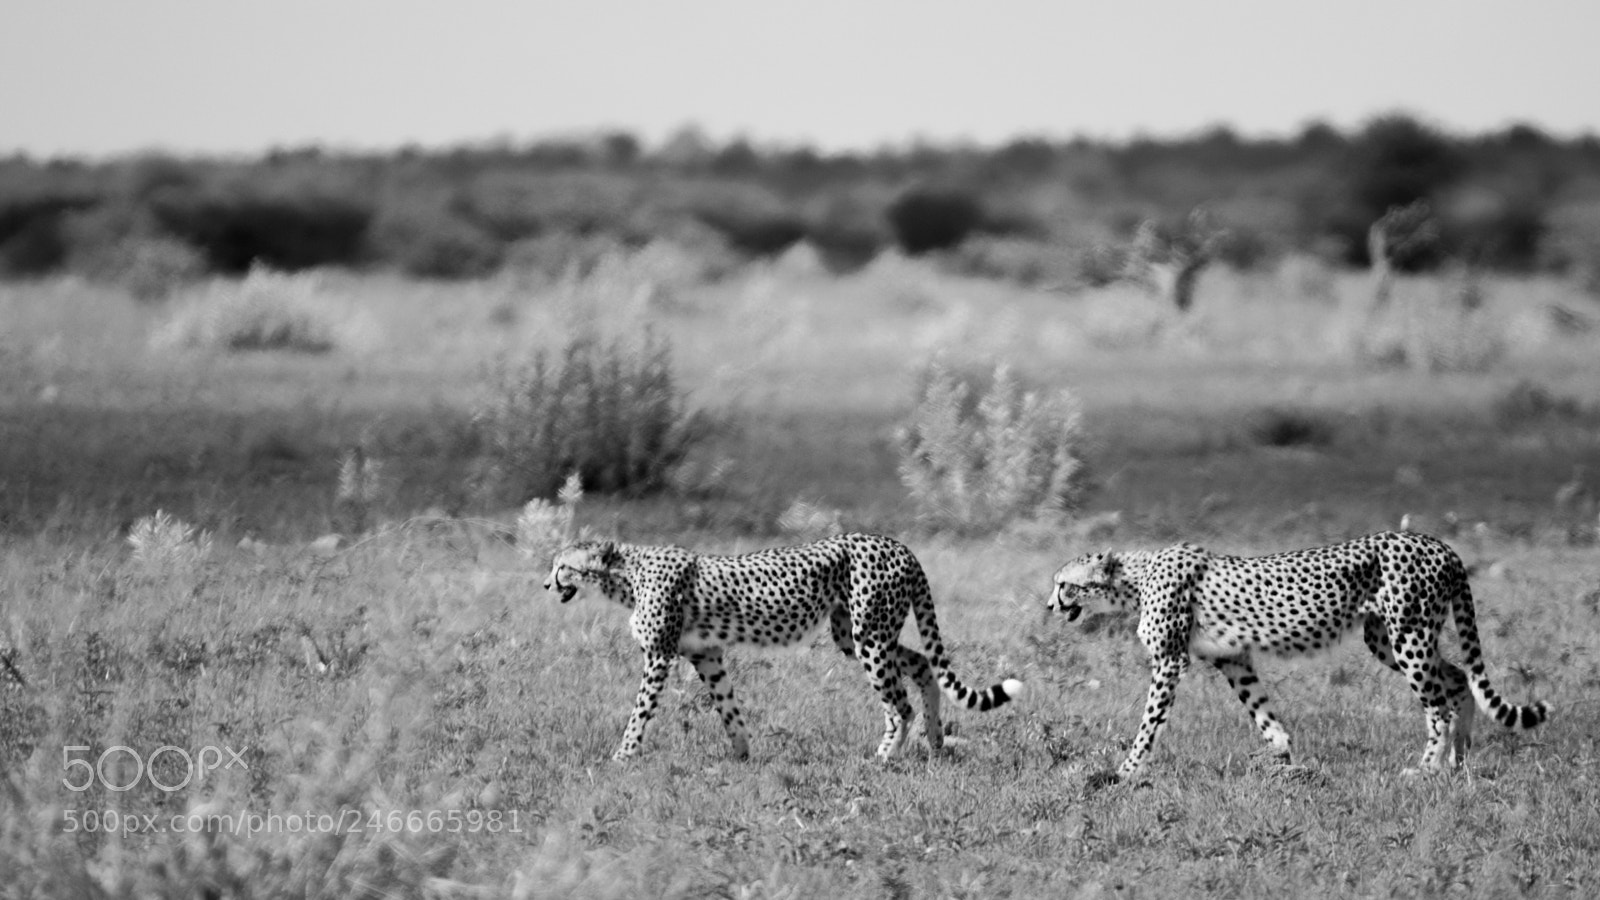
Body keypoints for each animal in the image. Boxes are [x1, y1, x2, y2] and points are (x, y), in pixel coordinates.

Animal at [544, 532, 1024, 761]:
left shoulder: (660, 655)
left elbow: (638, 713)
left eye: (562, 566)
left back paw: (885, 757)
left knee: (898, 705)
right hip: (855, 637)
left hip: (870, 638)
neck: (626, 573)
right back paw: (936, 740)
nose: (546, 584)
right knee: (924, 664)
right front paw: (742, 755)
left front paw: (622, 756)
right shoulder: (706, 654)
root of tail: (897, 544)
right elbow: (729, 707)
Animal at [1048, 530, 1549, 783]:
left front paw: (1126, 771)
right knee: (1460, 677)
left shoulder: (1171, 661)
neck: (1135, 577)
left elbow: (1148, 724)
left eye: (1065, 584)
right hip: (1387, 640)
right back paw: (1458, 762)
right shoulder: (1233, 658)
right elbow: (1262, 711)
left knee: (1438, 705)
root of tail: (1438, 543)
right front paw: (1281, 756)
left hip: (1409, 637)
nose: (1050, 605)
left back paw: (1426, 768)